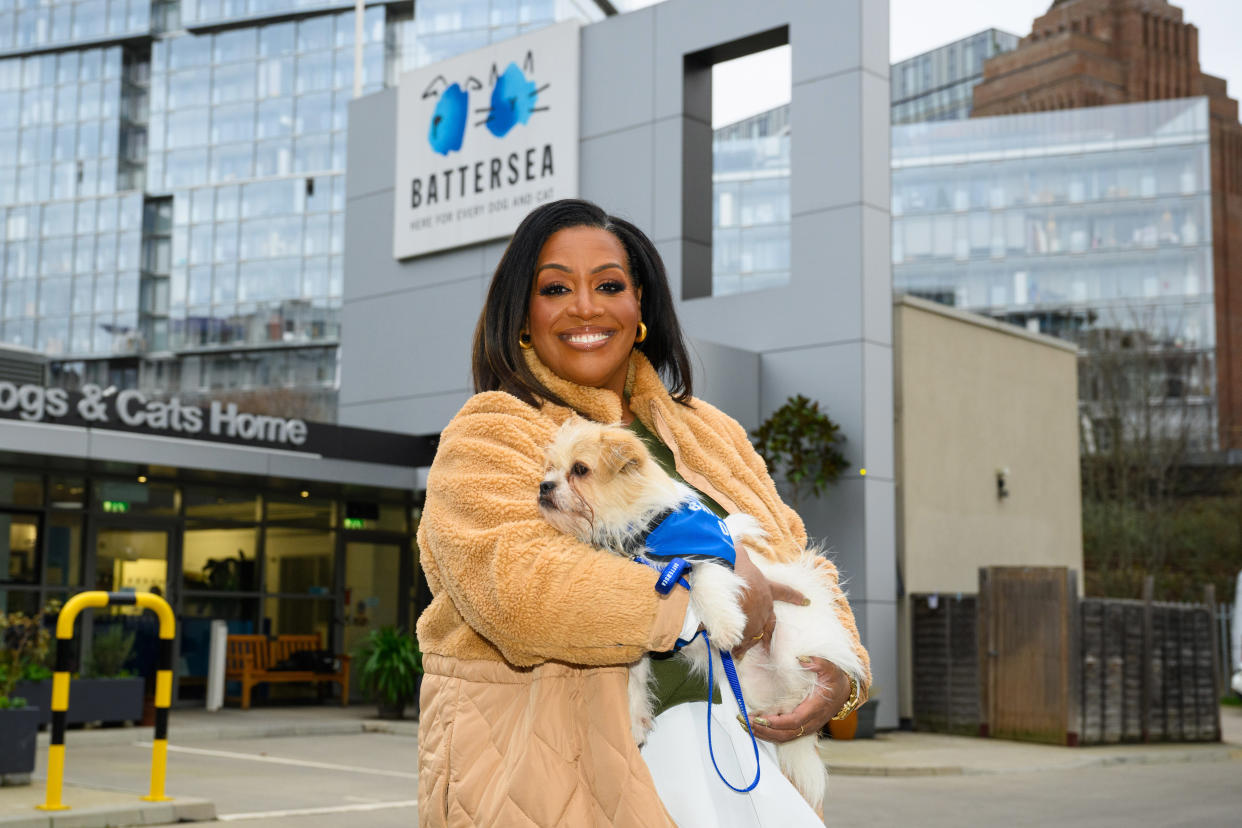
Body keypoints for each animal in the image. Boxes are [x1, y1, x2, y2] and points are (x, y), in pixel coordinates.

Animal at [534, 417, 864, 804]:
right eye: (550, 469)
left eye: (580, 470)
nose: (544, 486)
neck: (641, 535)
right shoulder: (639, 623)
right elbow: (635, 675)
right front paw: (635, 717)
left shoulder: (709, 556)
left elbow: (706, 581)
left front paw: (725, 626)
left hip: (790, 651)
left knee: (805, 689)